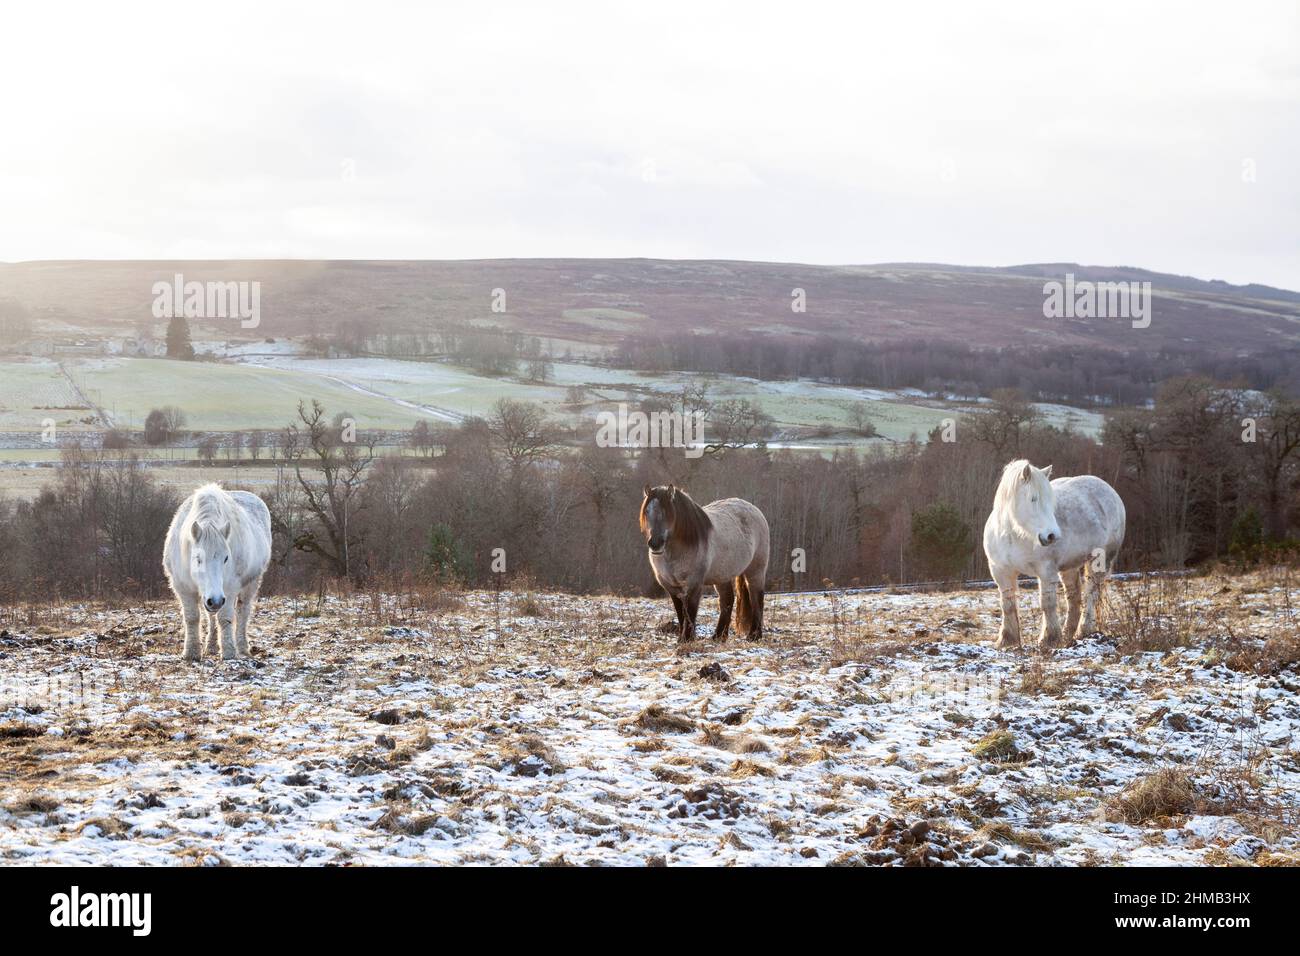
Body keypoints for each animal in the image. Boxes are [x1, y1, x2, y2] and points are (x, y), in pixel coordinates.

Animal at [163, 483, 272, 661]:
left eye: (226, 558)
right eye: (198, 558)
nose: (215, 600)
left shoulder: (230, 588)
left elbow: (225, 618)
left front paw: (228, 651)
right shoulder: (182, 587)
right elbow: (192, 618)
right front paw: (191, 652)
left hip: (251, 583)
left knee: (242, 612)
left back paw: (242, 647)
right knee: (211, 616)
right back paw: (212, 645)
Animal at [639, 484, 769, 642]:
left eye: (667, 512)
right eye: (647, 511)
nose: (655, 543)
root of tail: (755, 510)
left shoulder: (694, 584)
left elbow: (690, 611)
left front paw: (687, 638)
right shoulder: (671, 587)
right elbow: (680, 612)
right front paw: (683, 638)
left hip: (756, 570)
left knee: (757, 598)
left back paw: (754, 635)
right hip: (722, 576)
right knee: (727, 600)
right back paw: (719, 636)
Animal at [983, 459, 1125, 652]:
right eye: (1033, 498)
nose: (1052, 536)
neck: (1014, 534)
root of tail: (1110, 491)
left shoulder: (1046, 571)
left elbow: (1047, 604)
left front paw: (1049, 639)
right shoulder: (1001, 572)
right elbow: (1007, 605)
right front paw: (1007, 640)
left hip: (1100, 561)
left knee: (1091, 593)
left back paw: (1083, 630)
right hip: (1069, 567)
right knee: (1073, 597)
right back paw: (1067, 633)